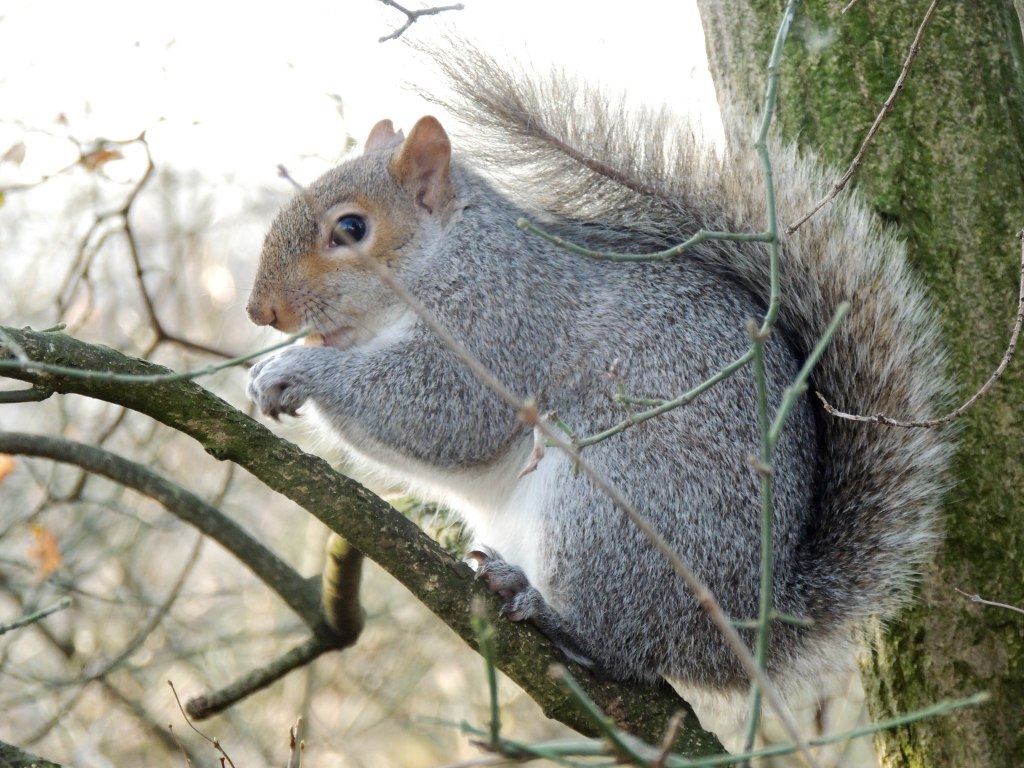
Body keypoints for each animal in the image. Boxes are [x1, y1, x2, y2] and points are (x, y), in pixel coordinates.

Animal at [245, 50, 953, 711]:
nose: (261, 313)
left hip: (610, 510)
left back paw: (552, 614)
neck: (447, 254)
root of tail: (747, 623)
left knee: (625, 650)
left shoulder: (503, 321)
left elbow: (443, 412)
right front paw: (266, 372)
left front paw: (295, 369)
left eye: (352, 228)